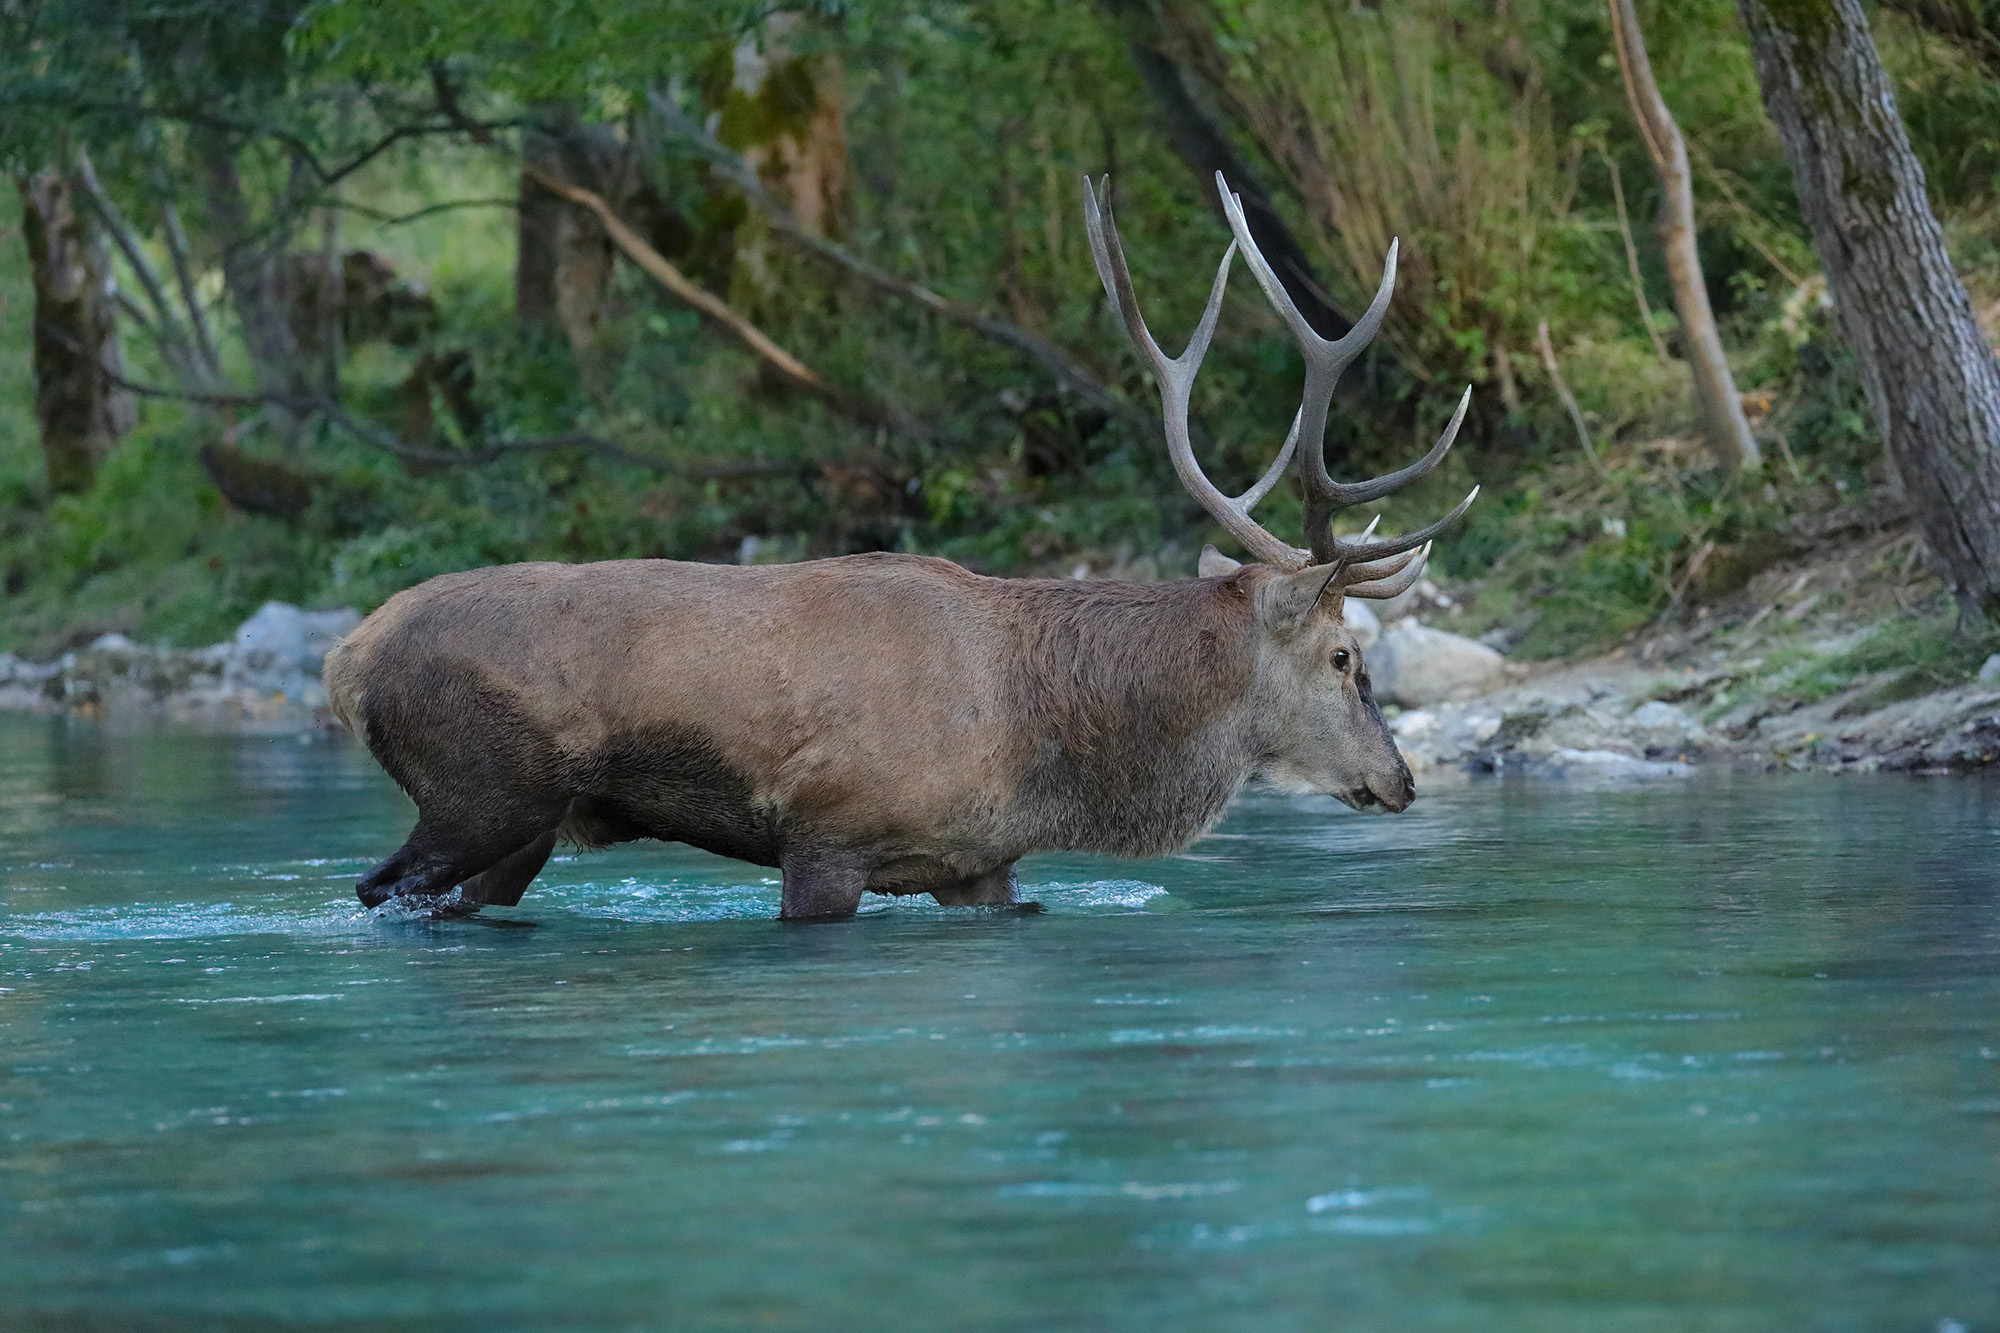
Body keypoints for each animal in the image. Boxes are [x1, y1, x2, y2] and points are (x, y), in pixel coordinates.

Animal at [323, 172, 1475, 920]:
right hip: (476, 788)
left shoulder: (981, 862)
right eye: (1344, 656)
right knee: (376, 888)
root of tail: (346, 656)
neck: (1044, 742)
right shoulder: (827, 836)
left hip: (521, 826)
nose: (1401, 781)